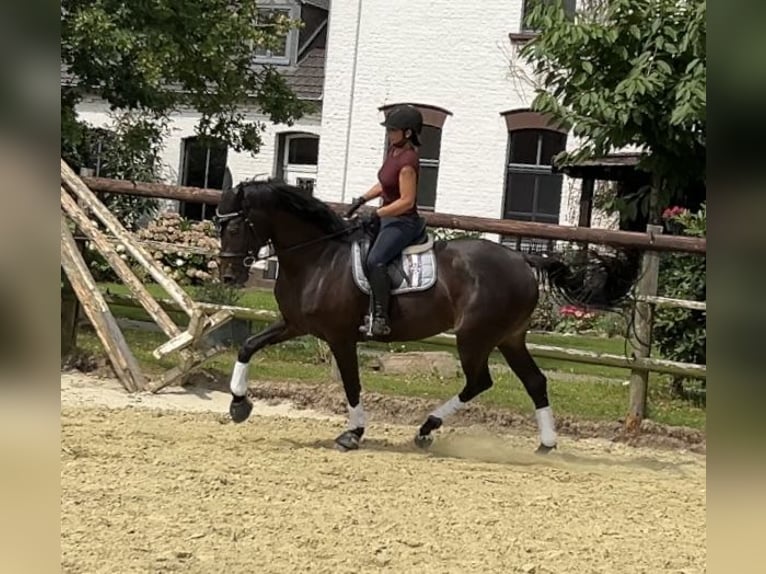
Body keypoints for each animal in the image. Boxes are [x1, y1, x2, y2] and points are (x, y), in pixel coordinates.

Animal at [214, 179, 636, 454]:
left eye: (234, 226)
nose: (229, 276)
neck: (318, 258)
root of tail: (522, 259)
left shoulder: (340, 336)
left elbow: (352, 385)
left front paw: (353, 433)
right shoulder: (295, 325)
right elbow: (248, 346)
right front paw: (238, 405)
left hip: (475, 337)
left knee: (479, 382)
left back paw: (426, 428)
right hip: (509, 338)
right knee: (534, 381)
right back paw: (546, 445)